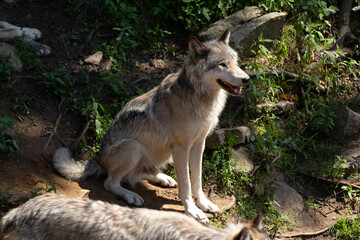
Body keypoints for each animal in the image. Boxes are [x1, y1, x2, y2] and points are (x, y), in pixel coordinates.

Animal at [52, 29, 250, 222]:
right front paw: (192, 211)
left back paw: (164, 178)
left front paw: (203, 204)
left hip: (159, 153)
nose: (247, 79)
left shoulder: (199, 144)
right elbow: (186, 184)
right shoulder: (181, 147)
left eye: (235, 61)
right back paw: (131, 195)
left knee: (138, 174)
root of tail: (97, 159)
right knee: (111, 182)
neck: (201, 99)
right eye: (223, 65)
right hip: (134, 147)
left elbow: (197, 180)